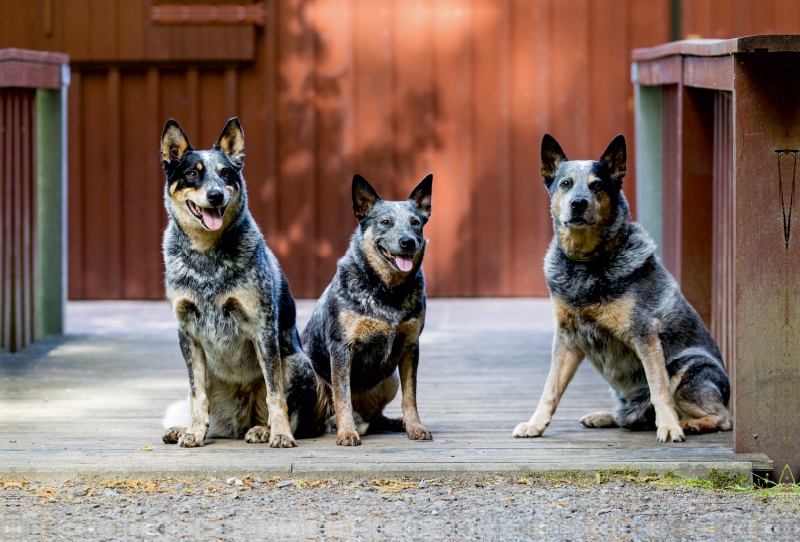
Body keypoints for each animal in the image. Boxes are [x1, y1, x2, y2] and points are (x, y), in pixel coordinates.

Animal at [158, 118, 318, 450]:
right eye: (192, 173)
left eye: (226, 173)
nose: (216, 195)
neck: (205, 257)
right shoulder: (187, 332)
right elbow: (197, 395)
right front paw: (193, 432)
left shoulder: (262, 327)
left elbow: (275, 394)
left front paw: (280, 433)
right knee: (205, 409)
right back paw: (183, 428)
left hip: (297, 364)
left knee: (288, 410)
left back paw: (264, 430)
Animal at [302, 173, 434, 446]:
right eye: (385, 222)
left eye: (416, 222)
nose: (408, 242)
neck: (387, 292)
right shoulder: (341, 348)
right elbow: (342, 397)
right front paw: (347, 432)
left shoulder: (410, 346)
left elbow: (411, 397)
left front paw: (415, 426)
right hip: (311, 373)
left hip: (390, 379)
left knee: (376, 417)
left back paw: (395, 422)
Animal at [512, 134, 732, 444]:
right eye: (566, 183)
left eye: (597, 185)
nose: (578, 203)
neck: (587, 262)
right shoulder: (567, 338)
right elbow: (550, 389)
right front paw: (535, 424)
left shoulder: (644, 334)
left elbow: (659, 389)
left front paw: (669, 427)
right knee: (629, 417)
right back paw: (603, 416)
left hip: (686, 367)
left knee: (722, 418)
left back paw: (687, 424)